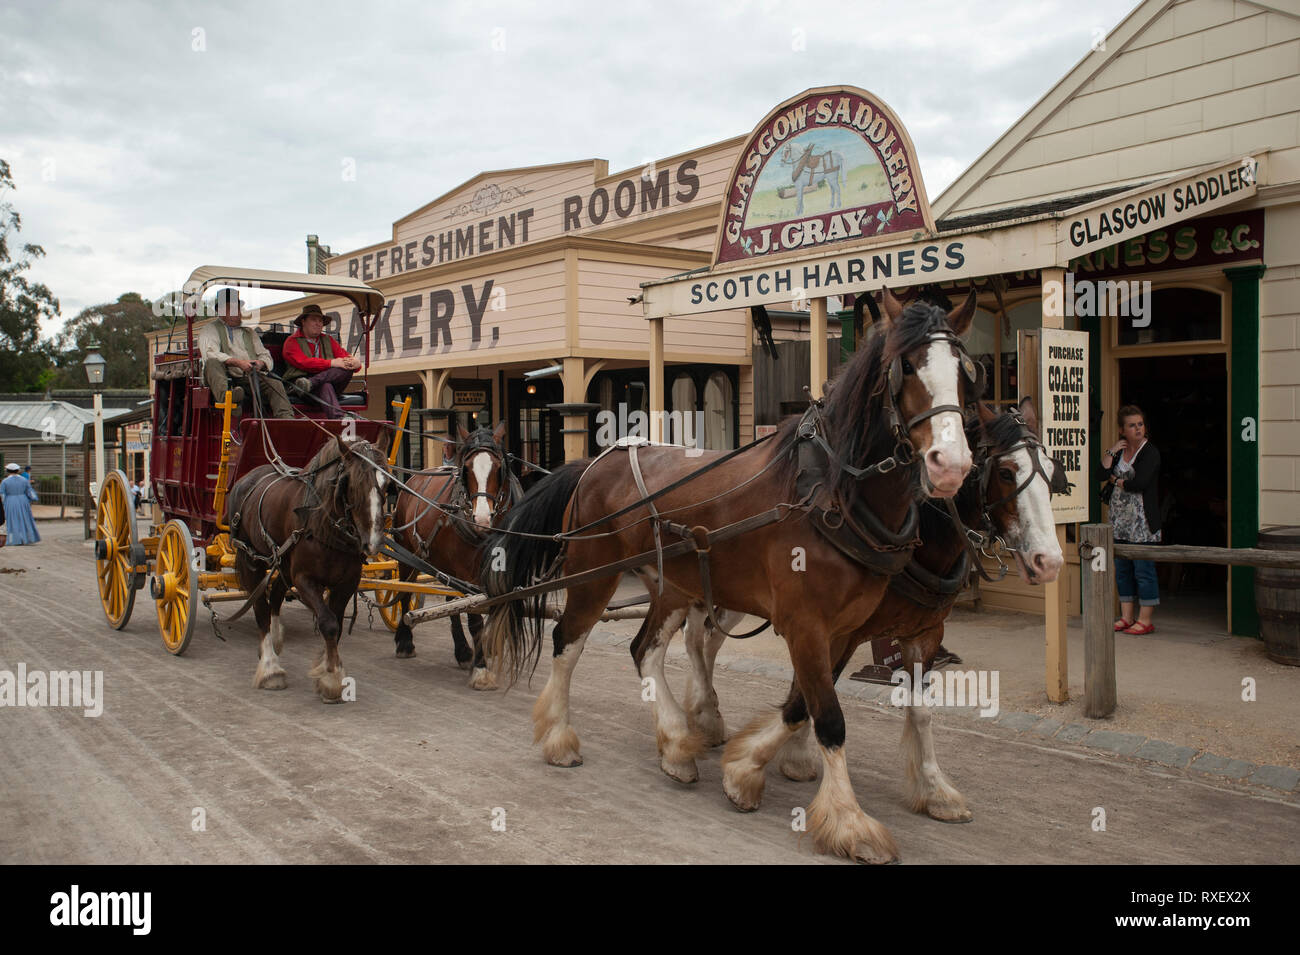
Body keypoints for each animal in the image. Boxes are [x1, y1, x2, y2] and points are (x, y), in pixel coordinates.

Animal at [224, 436, 390, 696]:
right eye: (351, 485)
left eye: (387, 485)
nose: (373, 542)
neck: (325, 526)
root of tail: (246, 478)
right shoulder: (304, 579)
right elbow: (328, 623)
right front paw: (332, 678)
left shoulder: (347, 583)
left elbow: (336, 624)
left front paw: (327, 668)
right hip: (251, 559)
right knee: (260, 606)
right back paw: (270, 667)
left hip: (281, 561)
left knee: (276, 595)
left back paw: (276, 638)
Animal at [387, 420, 514, 686]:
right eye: (466, 469)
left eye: (498, 468)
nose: (481, 518)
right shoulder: (466, 572)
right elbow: (475, 616)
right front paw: (481, 667)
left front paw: (489, 649)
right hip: (407, 553)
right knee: (404, 591)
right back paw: (405, 642)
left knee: (450, 601)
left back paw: (462, 651)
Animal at [486, 289, 977, 867]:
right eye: (906, 368)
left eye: (966, 372)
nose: (951, 465)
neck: (829, 494)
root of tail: (591, 463)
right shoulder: (806, 624)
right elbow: (829, 718)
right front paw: (850, 822)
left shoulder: (845, 631)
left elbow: (804, 706)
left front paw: (746, 770)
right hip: (591, 573)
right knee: (568, 641)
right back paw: (560, 737)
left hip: (672, 585)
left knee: (644, 650)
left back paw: (677, 745)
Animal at [681, 402, 1066, 831]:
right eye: (1005, 472)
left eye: (1053, 470)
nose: (1049, 560)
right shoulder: (837, 631)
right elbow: (807, 699)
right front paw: (751, 768)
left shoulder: (924, 632)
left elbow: (918, 711)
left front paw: (935, 791)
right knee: (693, 639)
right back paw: (700, 715)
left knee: (708, 640)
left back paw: (707, 714)